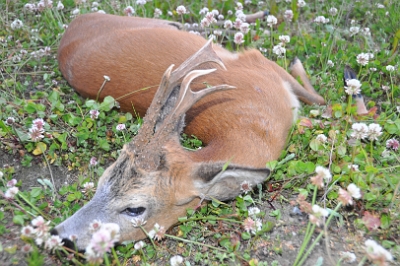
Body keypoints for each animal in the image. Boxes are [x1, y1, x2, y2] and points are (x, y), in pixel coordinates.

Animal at [52, 12, 324, 249]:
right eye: (100, 182)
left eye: (135, 208)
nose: (59, 234)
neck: (257, 129)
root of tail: (73, 25)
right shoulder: (260, 64)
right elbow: (320, 99)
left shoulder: (260, 63)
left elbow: (318, 98)